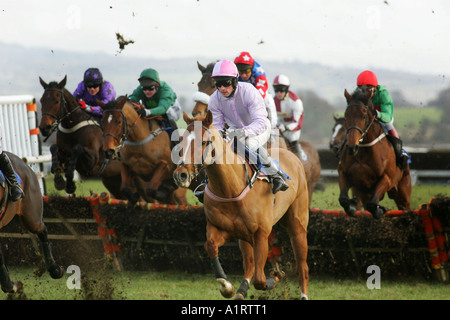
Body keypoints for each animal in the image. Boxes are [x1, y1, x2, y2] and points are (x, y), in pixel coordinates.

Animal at [173, 112, 310, 300]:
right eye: (182, 140)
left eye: (203, 142)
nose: (180, 175)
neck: (231, 188)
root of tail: (291, 155)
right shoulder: (222, 228)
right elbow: (211, 246)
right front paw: (227, 287)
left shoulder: (261, 233)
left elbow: (260, 280)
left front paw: (276, 276)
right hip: (244, 235)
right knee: (250, 264)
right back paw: (241, 291)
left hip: (297, 224)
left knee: (302, 267)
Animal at [338, 87, 412, 219]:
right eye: (346, 116)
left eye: (363, 116)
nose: (351, 147)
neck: (362, 151)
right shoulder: (345, 174)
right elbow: (343, 200)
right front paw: (352, 207)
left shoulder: (386, 178)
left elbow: (372, 205)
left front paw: (381, 210)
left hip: (403, 193)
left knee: (404, 207)